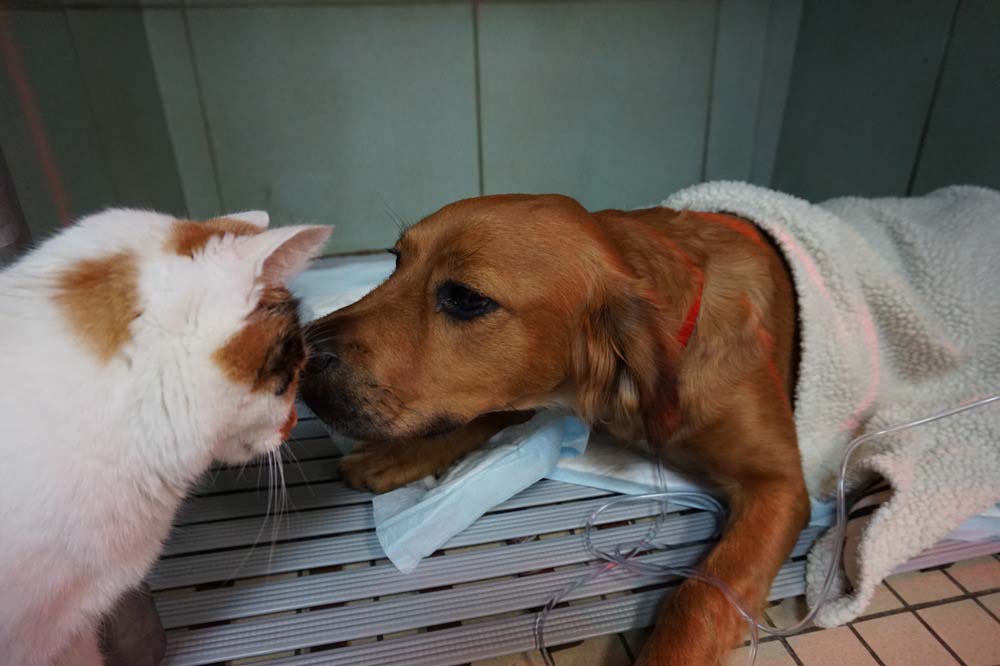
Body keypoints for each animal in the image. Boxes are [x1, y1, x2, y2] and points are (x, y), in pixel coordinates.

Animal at [300, 195, 808, 660]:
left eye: (466, 298)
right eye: (396, 260)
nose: (298, 357)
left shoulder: (780, 486)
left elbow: (701, 596)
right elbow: (486, 411)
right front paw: (398, 453)